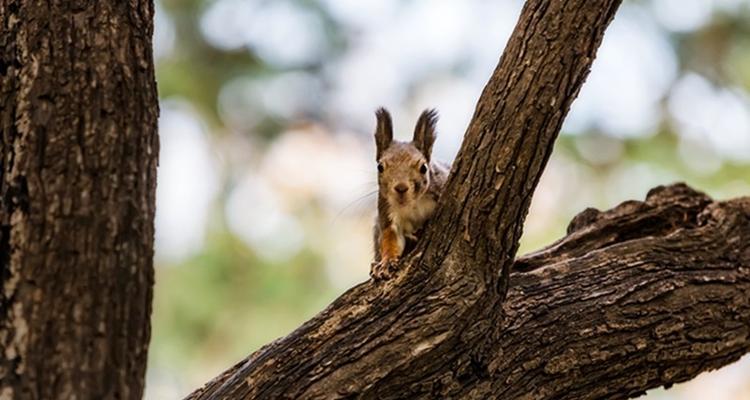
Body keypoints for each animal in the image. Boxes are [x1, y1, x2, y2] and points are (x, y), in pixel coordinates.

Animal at [368, 108, 446, 280]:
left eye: (424, 167)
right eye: (380, 167)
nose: (401, 188)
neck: (412, 204)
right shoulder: (387, 210)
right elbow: (390, 238)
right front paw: (386, 262)